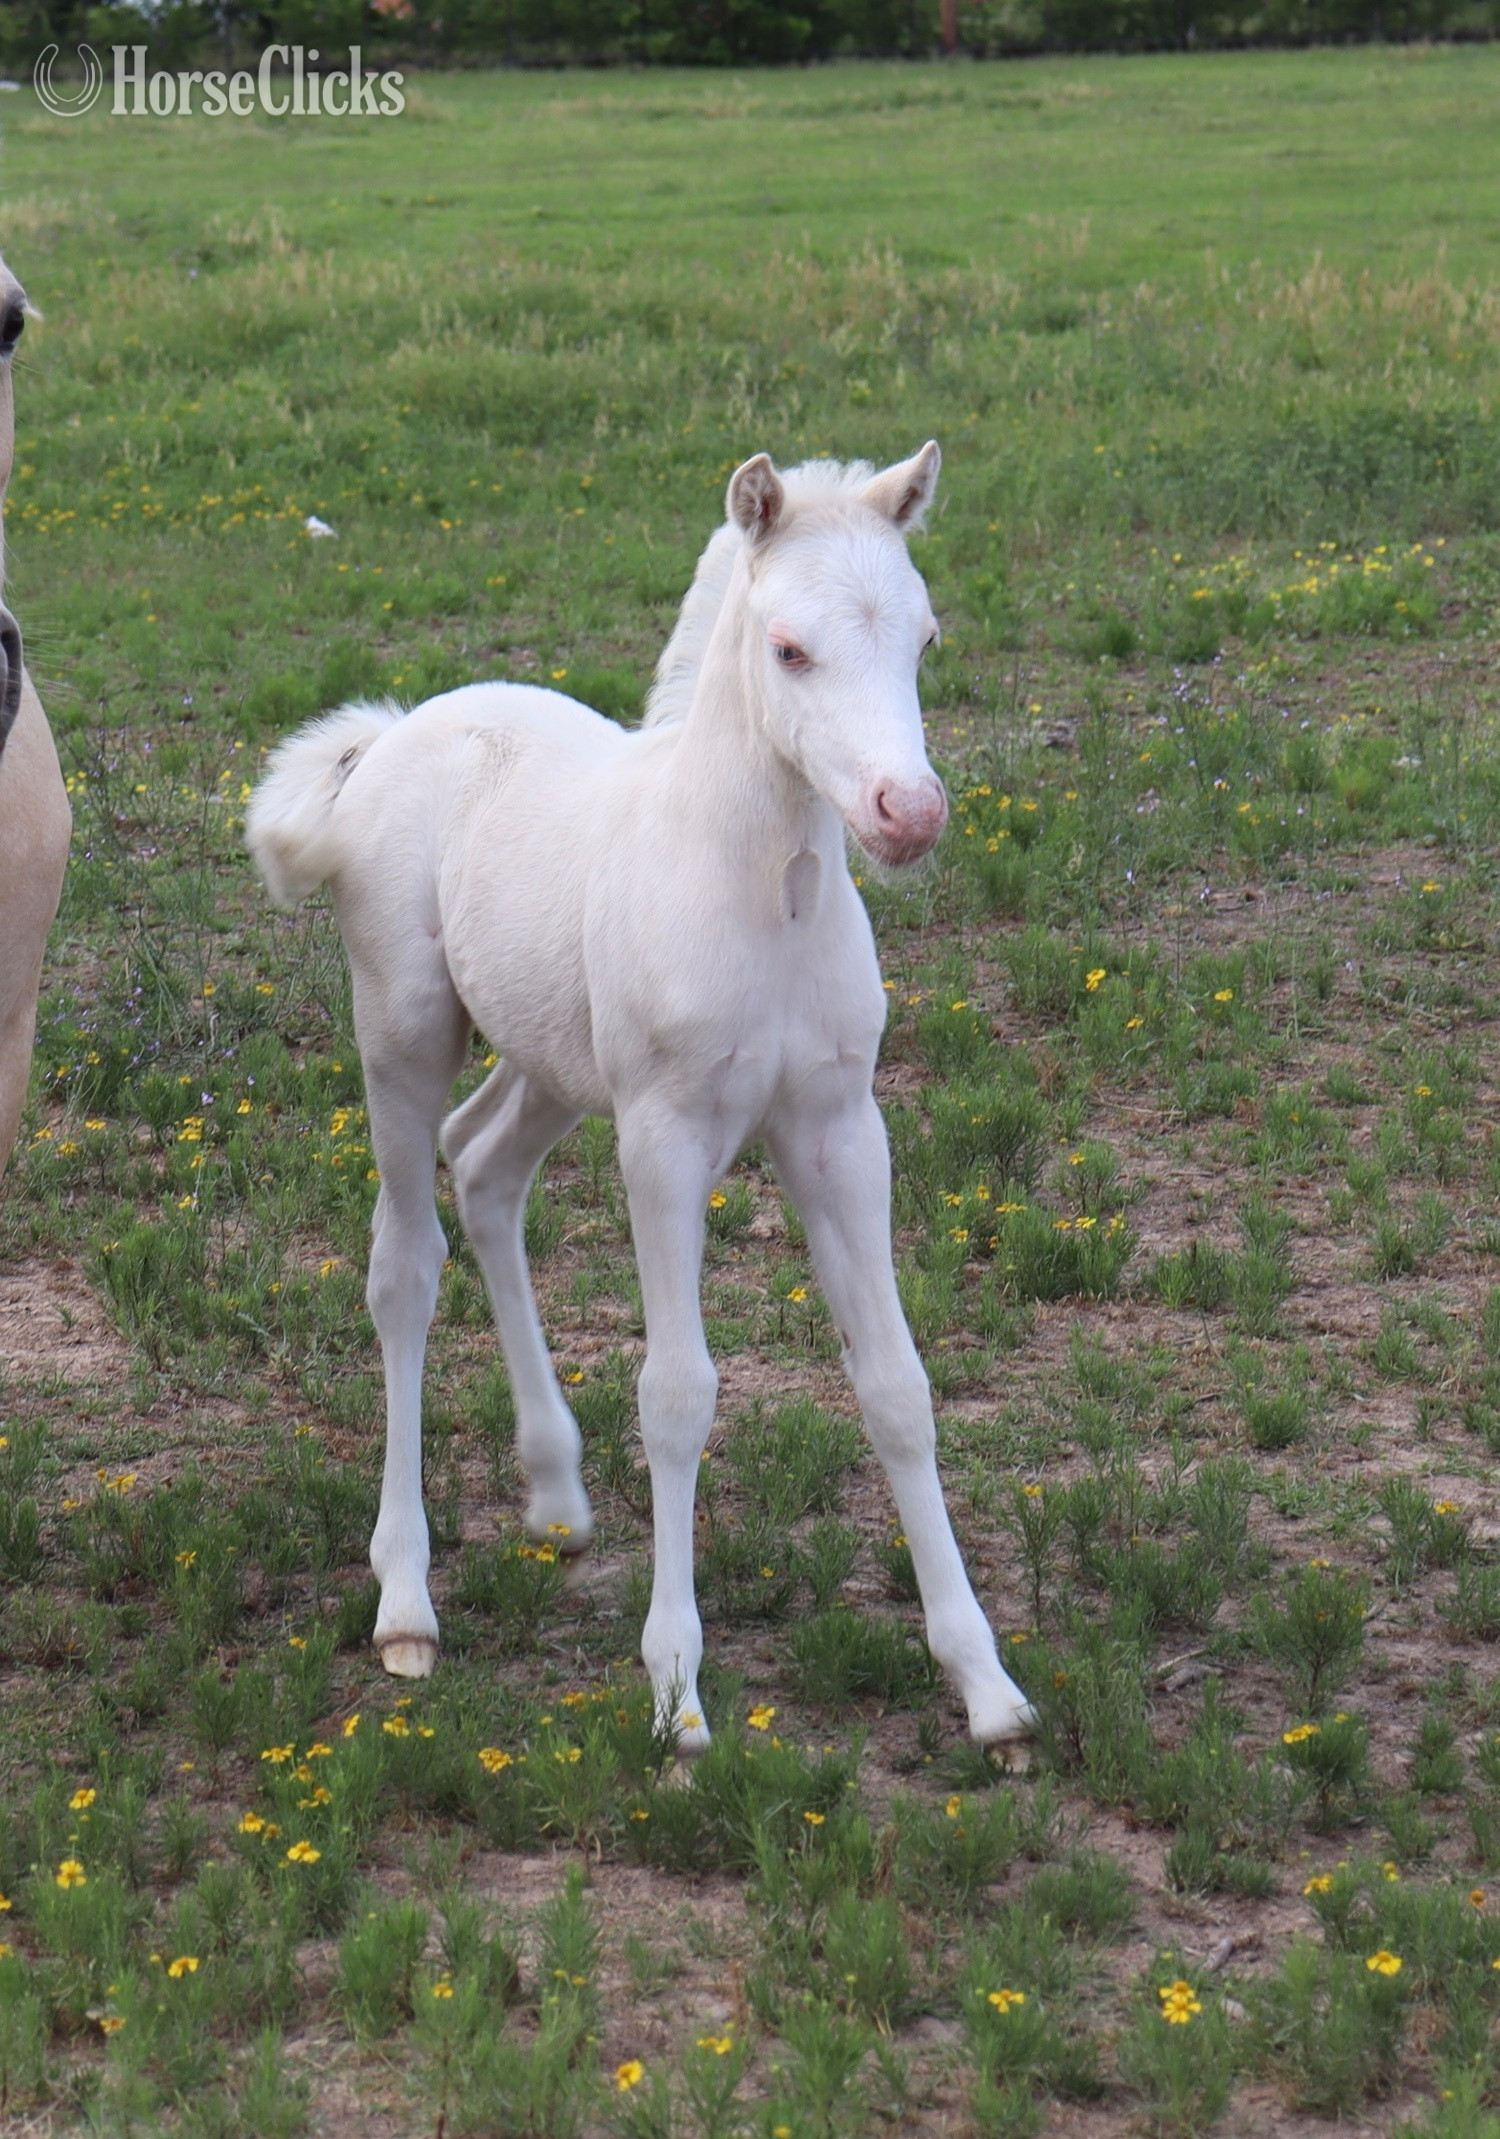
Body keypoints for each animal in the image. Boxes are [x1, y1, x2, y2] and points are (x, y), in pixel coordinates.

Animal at [247, 443, 1034, 1752]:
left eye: (925, 639)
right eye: (789, 648)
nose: (908, 813)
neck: (764, 890)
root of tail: (398, 731)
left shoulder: (839, 1132)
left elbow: (897, 1385)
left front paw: (986, 1684)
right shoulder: (664, 1141)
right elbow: (677, 1393)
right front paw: (676, 1696)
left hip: (556, 1064)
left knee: (485, 1165)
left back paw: (556, 1489)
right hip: (403, 1033)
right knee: (404, 1262)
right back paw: (406, 1602)